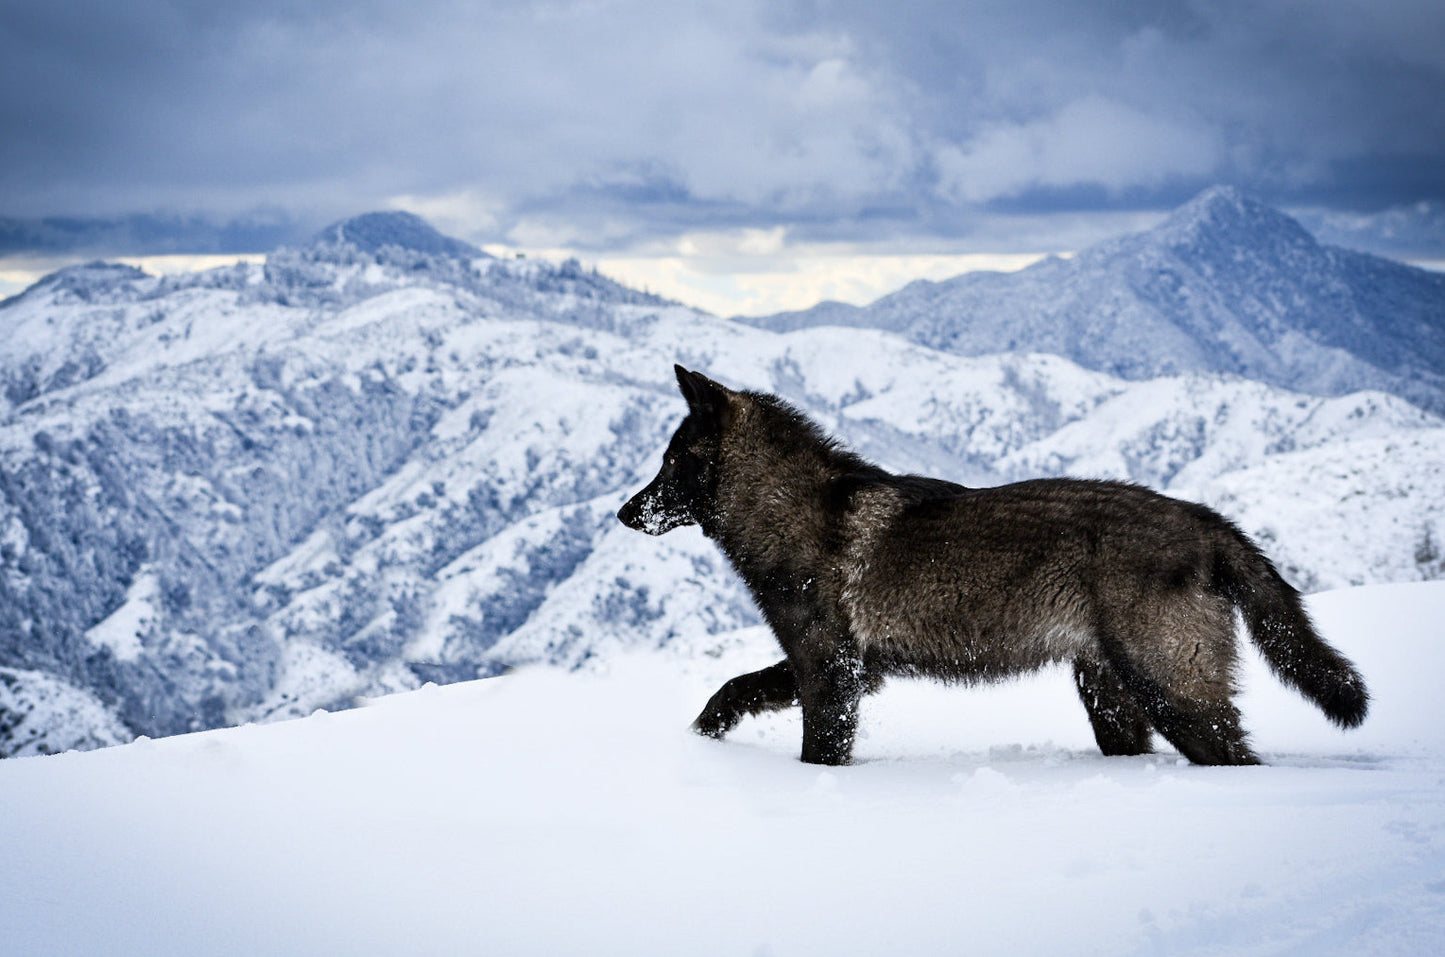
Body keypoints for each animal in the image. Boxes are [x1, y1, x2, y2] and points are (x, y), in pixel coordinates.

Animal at [618, 367, 1364, 774]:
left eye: (671, 460)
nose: (625, 512)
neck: (790, 509)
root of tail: (1204, 518)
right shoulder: (840, 665)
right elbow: (732, 687)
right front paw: (701, 736)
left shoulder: (832, 669)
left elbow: (816, 748)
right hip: (1111, 700)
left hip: (1172, 694)